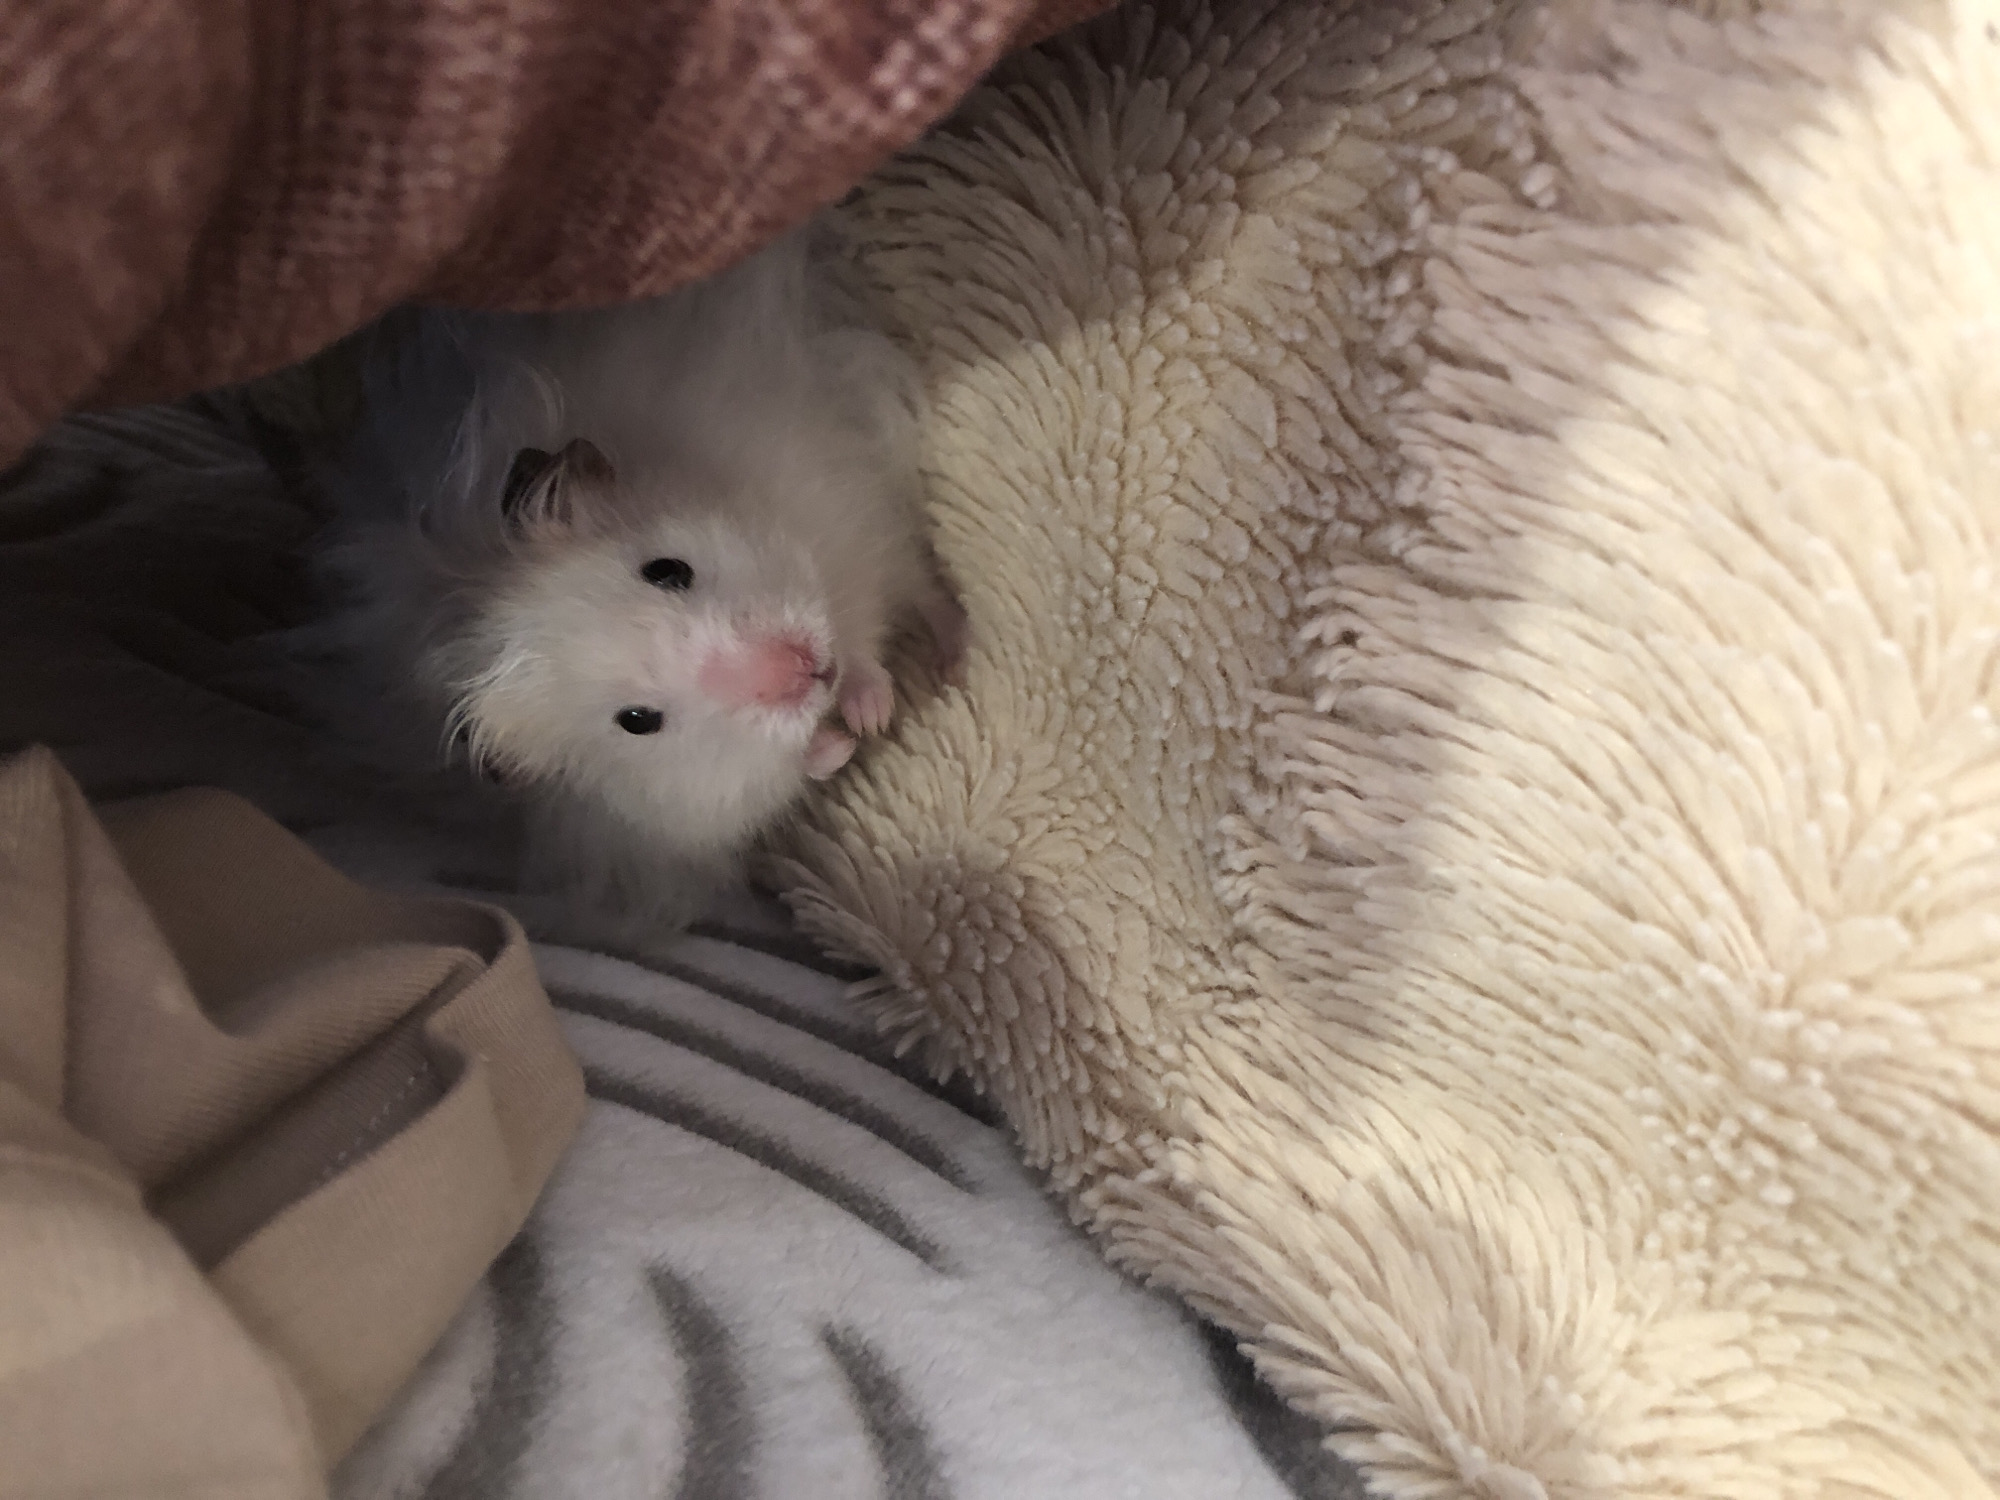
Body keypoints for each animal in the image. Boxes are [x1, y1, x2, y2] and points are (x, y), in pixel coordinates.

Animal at [309, 228, 964, 953]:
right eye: (637, 721)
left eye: (668, 570)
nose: (797, 670)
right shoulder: (699, 806)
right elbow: (782, 770)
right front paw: (841, 744)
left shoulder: (839, 522)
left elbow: (864, 633)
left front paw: (870, 711)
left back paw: (954, 654)